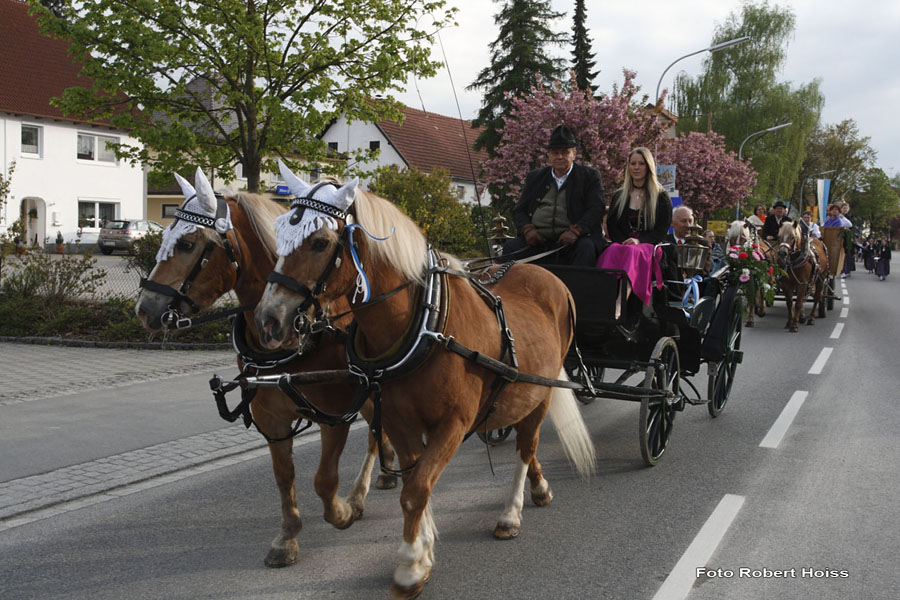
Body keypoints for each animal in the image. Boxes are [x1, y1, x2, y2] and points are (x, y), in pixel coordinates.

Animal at [132, 168, 400, 568]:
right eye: (165, 238)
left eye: (188, 244)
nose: (146, 308)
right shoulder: (270, 416)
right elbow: (284, 476)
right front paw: (287, 537)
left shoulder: (334, 412)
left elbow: (324, 480)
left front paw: (342, 512)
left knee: (374, 432)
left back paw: (362, 491)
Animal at [251, 162, 596, 596]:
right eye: (279, 231)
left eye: (320, 242)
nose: (268, 320)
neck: (425, 324)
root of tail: (544, 272)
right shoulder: (400, 423)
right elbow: (417, 483)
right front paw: (424, 546)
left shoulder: (453, 424)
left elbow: (416, 491)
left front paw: (411, 565)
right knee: (524, 443)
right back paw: (540, 488)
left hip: (542, 392)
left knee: (525, 446)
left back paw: (511, 513)